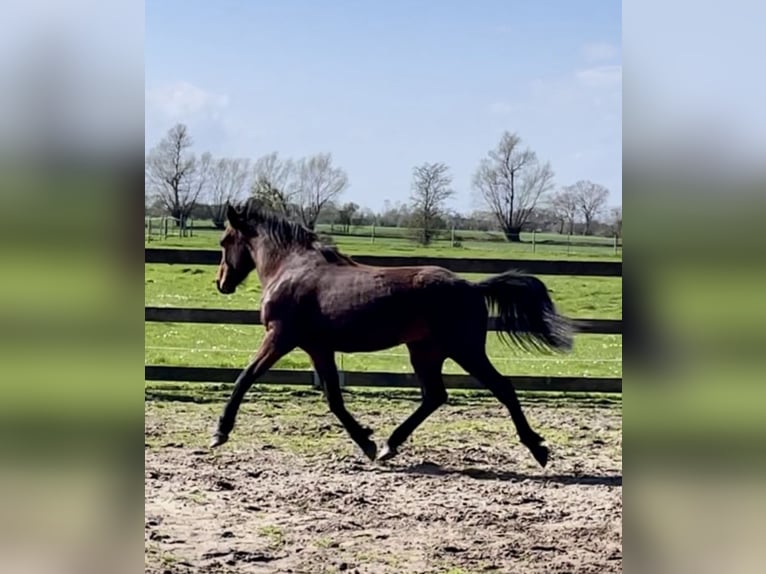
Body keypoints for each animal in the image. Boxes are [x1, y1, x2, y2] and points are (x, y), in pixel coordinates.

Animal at [213, 200, 572, 470]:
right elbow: (334, 398)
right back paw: (389, 446)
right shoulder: (319, 348)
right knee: (435, 396)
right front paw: (367, 442)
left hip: (464, 349)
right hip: (425, 350)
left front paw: (220, 432)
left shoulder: (280, 337)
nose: (222, 283)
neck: (291, 269)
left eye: (224, 242)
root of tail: (472, 286)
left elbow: (245, 377)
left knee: (502, 387)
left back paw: (538, 449)